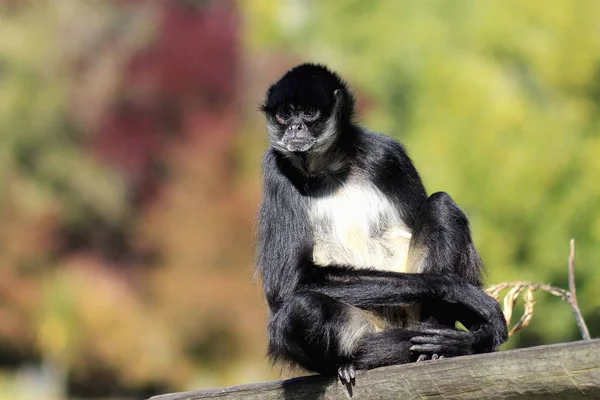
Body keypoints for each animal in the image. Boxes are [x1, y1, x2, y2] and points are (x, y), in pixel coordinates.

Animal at [255, 63, 508, 384]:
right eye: (284, 115)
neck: (329, 168)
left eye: (309, 113)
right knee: (301, 308)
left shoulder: (386, 154)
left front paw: (483, 331)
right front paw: (454, 287)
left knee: (440, 205)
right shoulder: (276, 169)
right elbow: (288, 288)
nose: (294, 128)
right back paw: (347, 362)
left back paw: (438, 347)